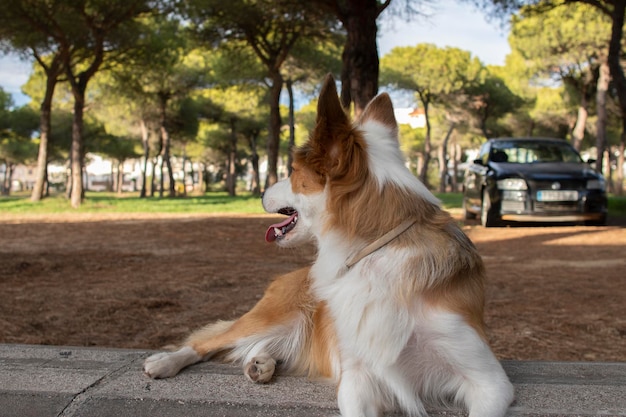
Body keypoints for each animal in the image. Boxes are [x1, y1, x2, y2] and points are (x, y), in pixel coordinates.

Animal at [143, 75, 512, 416]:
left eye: (292, 171)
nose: (259, 192)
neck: (378, 249)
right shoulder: (357, 375)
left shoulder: (489, 381)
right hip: (274, 314)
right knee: (207, 341)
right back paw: (166, 362)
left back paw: (261, 364)